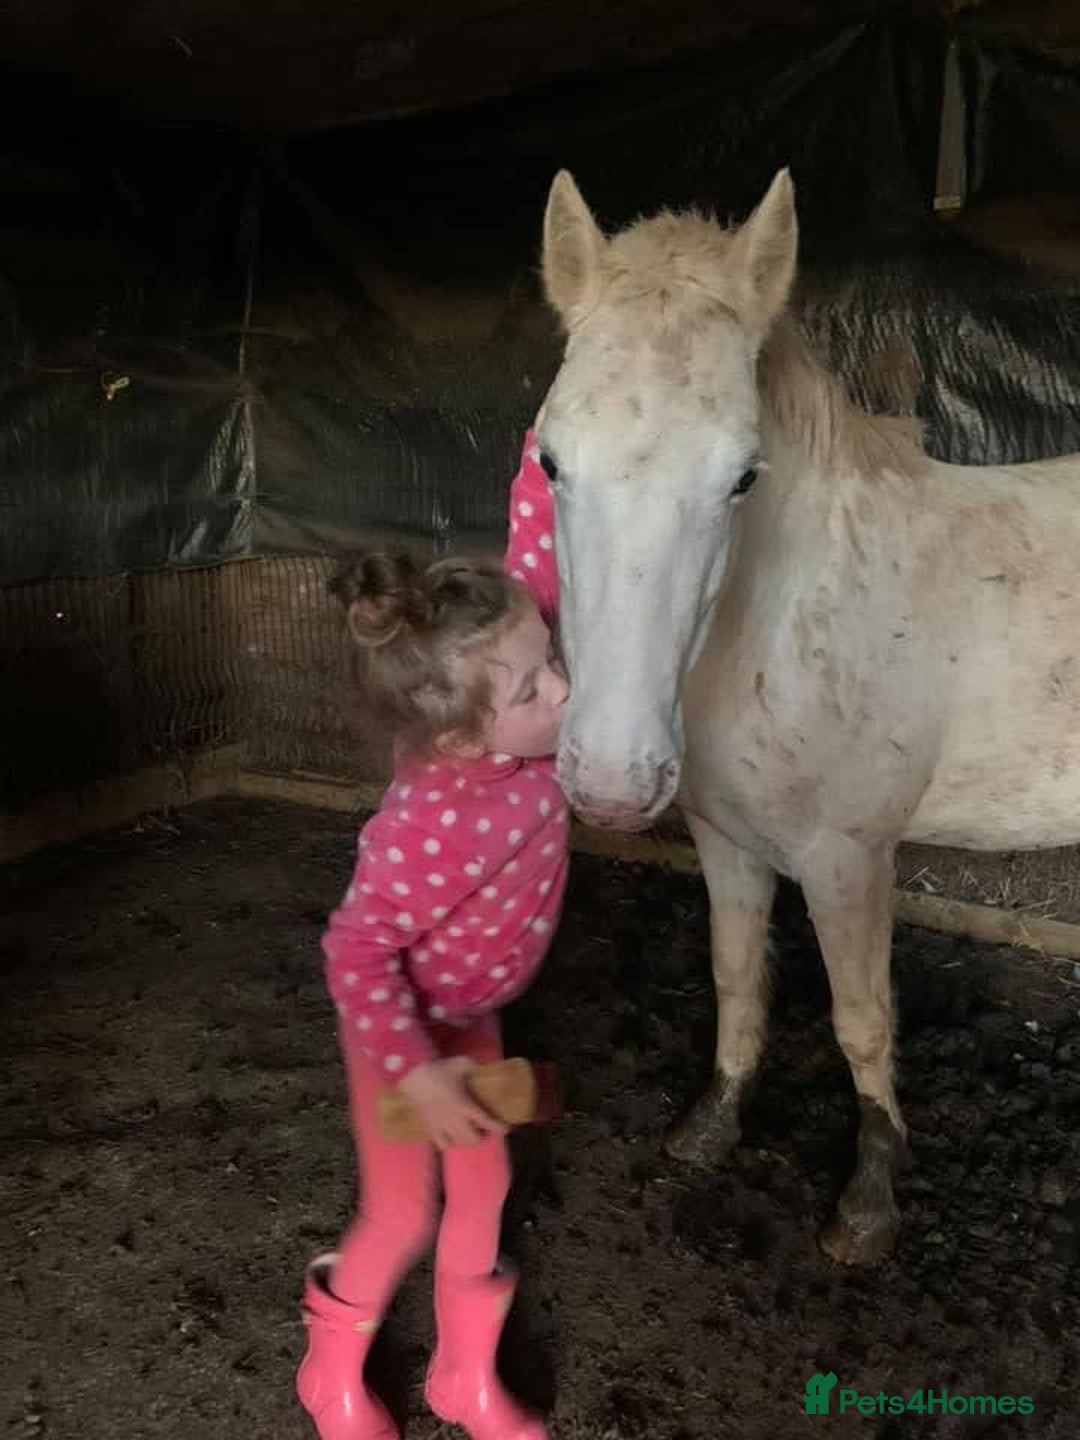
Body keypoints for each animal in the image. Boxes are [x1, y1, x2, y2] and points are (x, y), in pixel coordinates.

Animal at [535, 167, 1080, 1264]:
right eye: (551, 462)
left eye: (743, 474)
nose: (611, 779)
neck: (787, 619)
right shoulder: (724, 838)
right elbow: (736, 975)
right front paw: (712, 1122)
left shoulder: (849, 857)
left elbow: (861, 1019)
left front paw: (869, 1198)